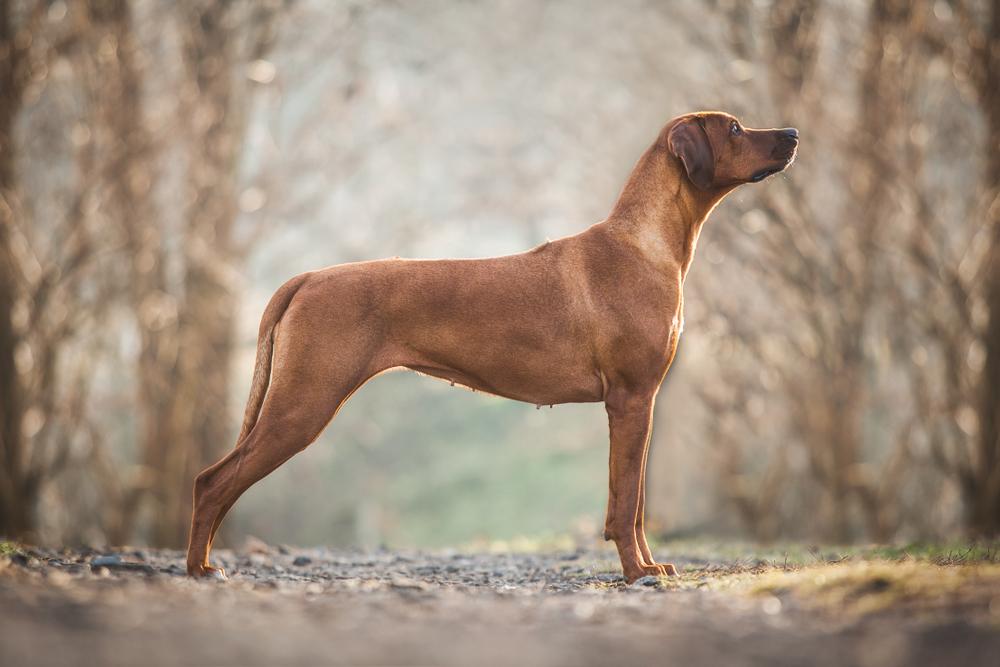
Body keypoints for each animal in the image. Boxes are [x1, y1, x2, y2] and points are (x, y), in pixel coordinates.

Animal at [186, 112, 796, 580]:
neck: (643, 242)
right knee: (212, 481)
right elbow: (626, 506)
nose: (791, 133)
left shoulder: (639, 404)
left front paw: (648, 566)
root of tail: (307, 277)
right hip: (303, 404)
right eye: (735, 127)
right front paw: (635, 574)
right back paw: (198, 569)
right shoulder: (631, 400)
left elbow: (636, 503)